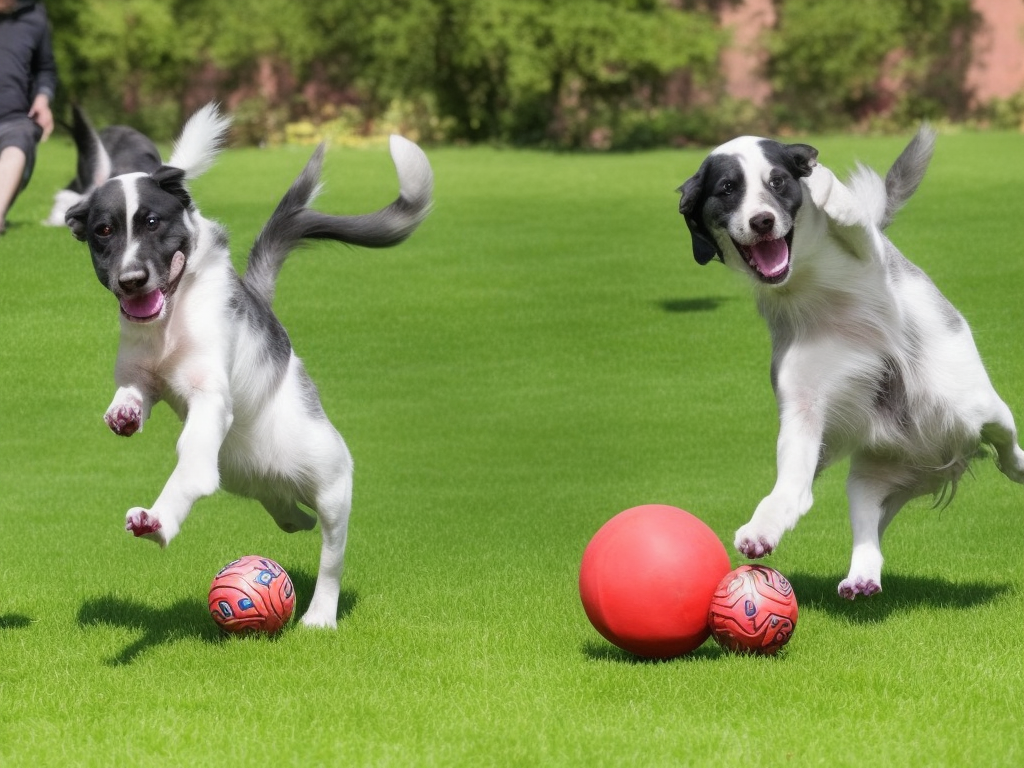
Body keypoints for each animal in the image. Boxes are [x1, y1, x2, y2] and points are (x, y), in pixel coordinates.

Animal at [64, 103, 432, 630]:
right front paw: (124, 415)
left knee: (330, 551)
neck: (171, 319)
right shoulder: (140, 373)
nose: (131, 280)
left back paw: (320, 615)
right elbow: (133, 393)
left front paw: (157, 520)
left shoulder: (209, 394)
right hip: (253, 481)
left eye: (153, 222)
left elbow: (192, 465)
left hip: (330, 476)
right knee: (287, 512)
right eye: (103, 231)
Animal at [679, 128, 1024, 602]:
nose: (762, 221)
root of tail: (936, 462)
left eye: (778, 182)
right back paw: (862, 576)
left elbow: (854, 215)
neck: (810, 285)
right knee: (868, 527)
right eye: (728, 189)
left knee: (1008, 444)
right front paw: (762, 530)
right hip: (868, 478)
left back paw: (1018, 467)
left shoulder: (870, 255)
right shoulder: (803, 407)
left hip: (976, 408)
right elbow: (792, 491)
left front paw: (824, 185)